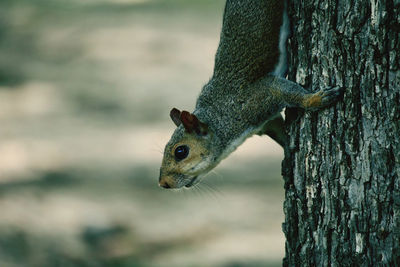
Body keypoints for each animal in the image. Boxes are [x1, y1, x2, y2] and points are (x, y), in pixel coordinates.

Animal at [159, 0, 344, 189]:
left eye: (181, 151)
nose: (163, 183)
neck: (220, 116)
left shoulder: (258, 97)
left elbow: (285, 92)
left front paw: (316, 99)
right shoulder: (266, 122)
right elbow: (279, 131)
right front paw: (287, 149)